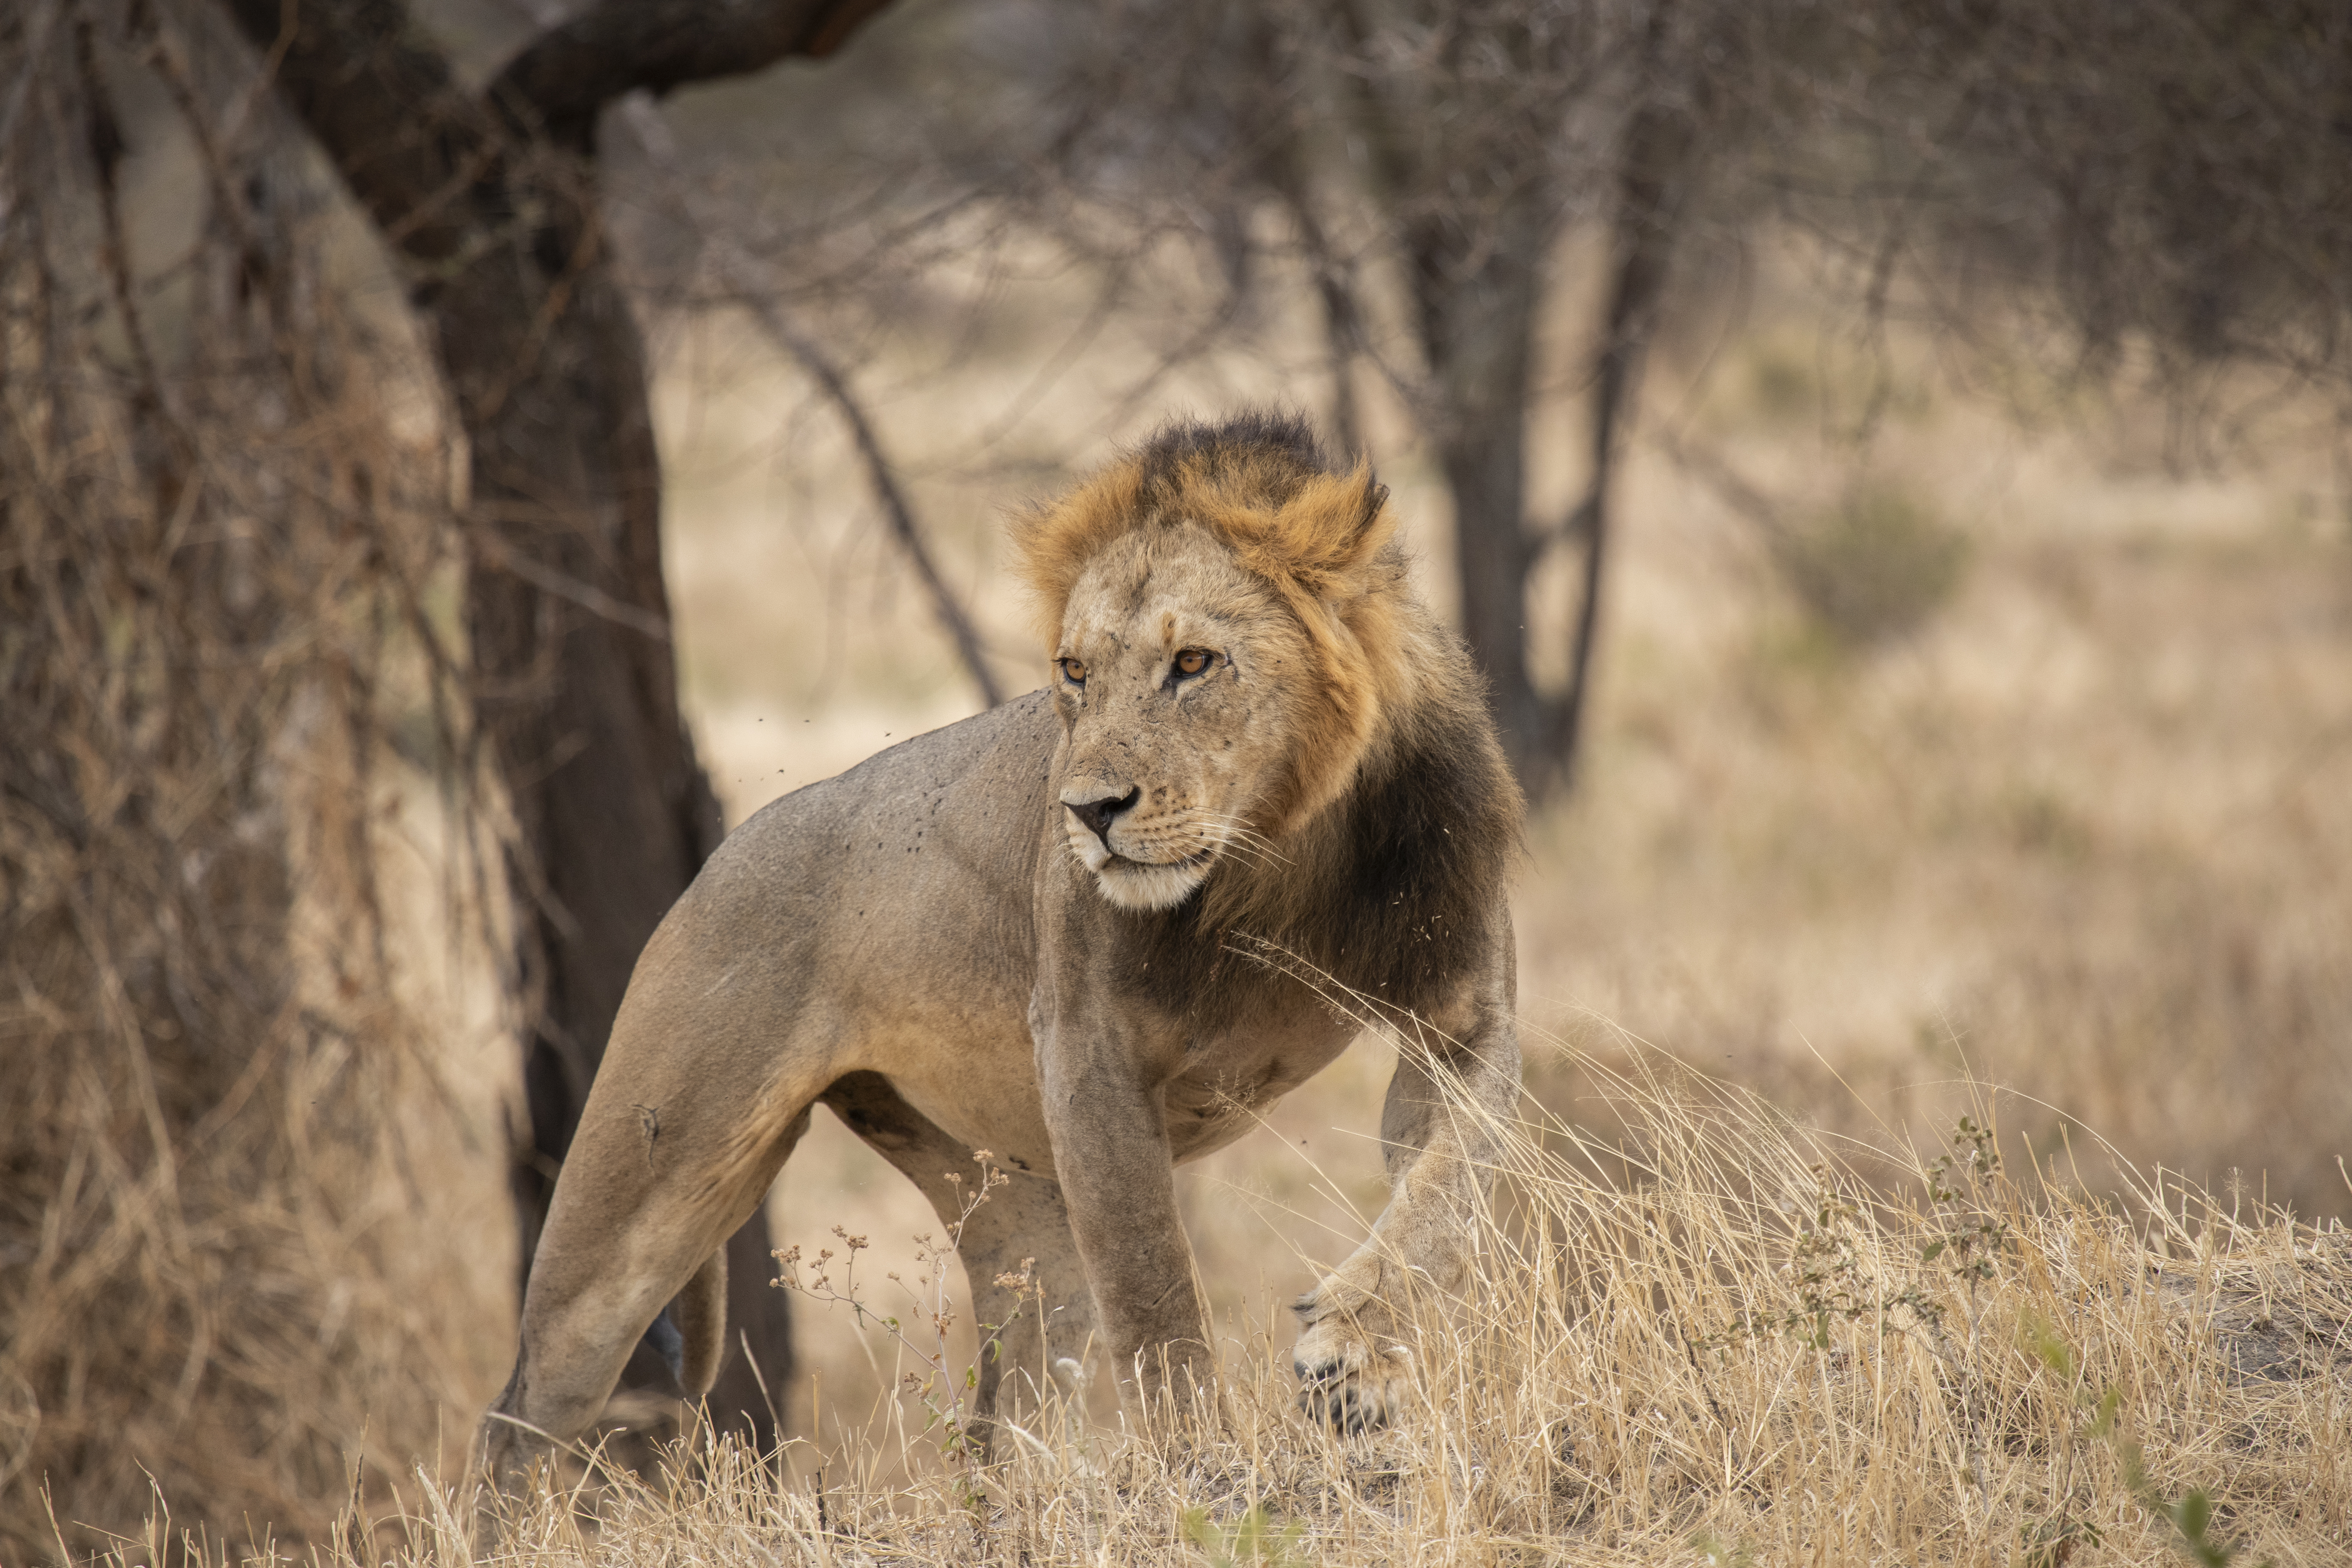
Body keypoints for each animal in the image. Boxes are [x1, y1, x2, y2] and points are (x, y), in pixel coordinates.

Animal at [475, 410, 1521, 1491]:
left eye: (1193, 663)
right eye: (1075, 673)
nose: (1088, 812)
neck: (1279, 852)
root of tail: (711, 866)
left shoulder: (1462, 1023)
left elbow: (1449, 1192)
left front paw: (1350, 1359)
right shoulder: (1087, 1049)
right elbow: (1154, 1291)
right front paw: (1202, 1468)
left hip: (1016, 1214)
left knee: (997, 1419)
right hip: (640, 1198)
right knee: (520, 1409)